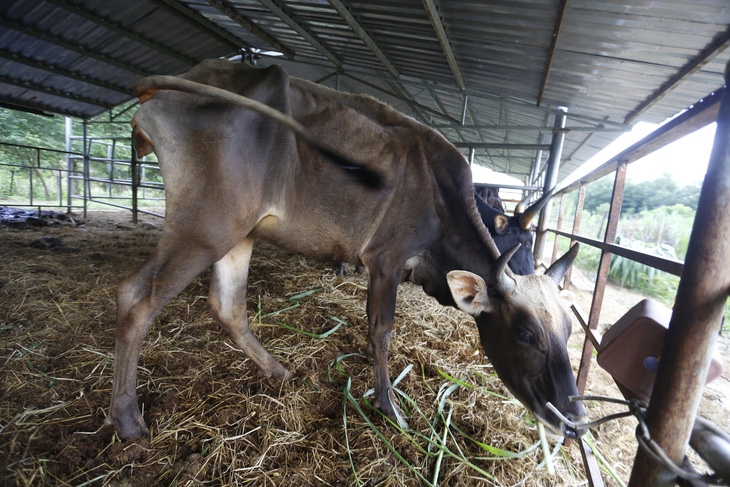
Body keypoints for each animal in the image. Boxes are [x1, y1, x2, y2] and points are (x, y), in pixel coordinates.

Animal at [112, 59, 584, 440]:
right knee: (137, 298)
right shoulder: (386, 259)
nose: (576, 422)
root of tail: (195, 75)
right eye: (526, 334)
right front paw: (390, 407)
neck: (441, 201)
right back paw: (127, 420)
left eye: (569, 331)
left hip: (238, 232)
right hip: (208, 224)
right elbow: (381, 330)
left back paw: (276, 370)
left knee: (227, 306)